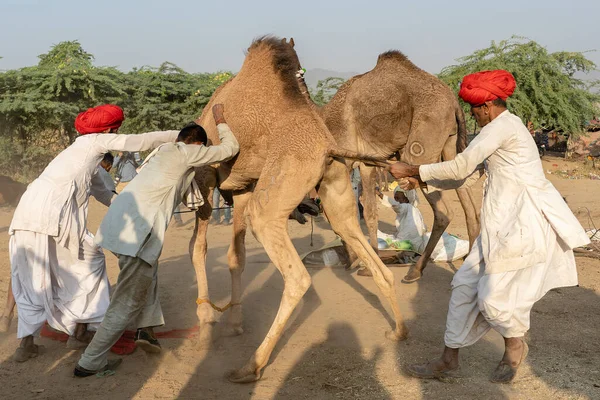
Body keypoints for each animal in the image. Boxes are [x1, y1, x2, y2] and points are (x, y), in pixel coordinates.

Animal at [191, 37, 408, 384]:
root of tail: (328, 146)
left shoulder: (207, 171)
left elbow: (199, 248)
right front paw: (234, 323)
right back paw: (399, 331)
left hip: (276, 193)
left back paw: (251, 366)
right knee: (364, 247)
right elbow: (236, 257)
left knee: (296, 276)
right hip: (335, 190)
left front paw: (206, 326)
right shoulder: (242, 187)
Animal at [298, 51, 480, 282]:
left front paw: (361, 263)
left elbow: (354, 213)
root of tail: (454, 102)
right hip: (450, 144)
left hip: (422, 146)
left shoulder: (351, 160)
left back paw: (415, 270)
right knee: (468, 204)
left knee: (443, 211)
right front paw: (360, 261)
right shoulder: (366, 161)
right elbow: (363, 212)